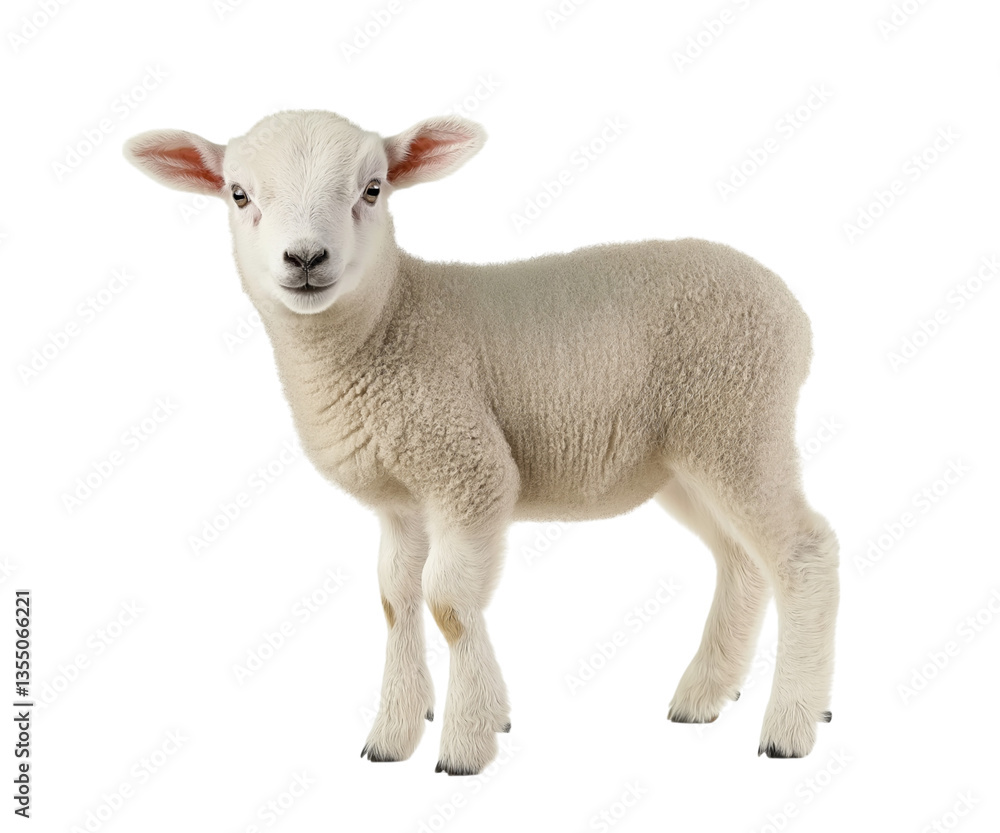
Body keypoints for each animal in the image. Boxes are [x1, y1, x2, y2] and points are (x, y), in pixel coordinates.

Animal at [123, 109, 839, 774]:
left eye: (373, 189)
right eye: (239, 194)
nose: (304, 259)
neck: (390, 322)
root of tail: (791, 308)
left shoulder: (469, 467)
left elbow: (448, 603)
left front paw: (466, 741)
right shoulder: (401, 501)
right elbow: (395, 598)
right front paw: (395, 734)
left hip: (738, 421)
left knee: (803, 551)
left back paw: (791, 724)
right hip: (688, 458)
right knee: (741, 560)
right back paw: (707, 694)